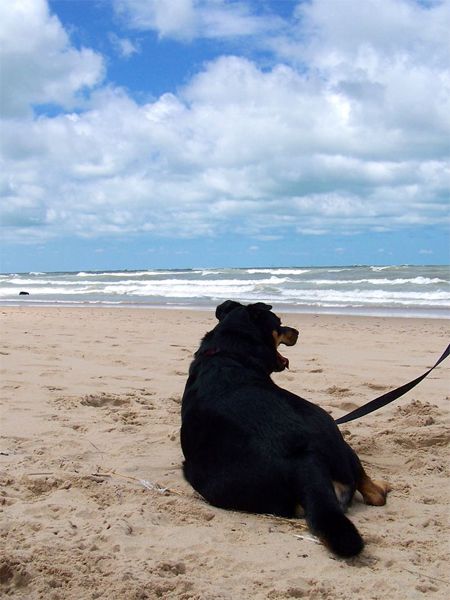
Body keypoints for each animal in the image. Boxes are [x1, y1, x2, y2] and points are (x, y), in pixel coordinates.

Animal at [179, 300, 390, 556]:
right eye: (278, 323)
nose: (296, 331)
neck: (228, 352)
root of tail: (304, 461)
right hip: (335, 434)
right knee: (374, 494)